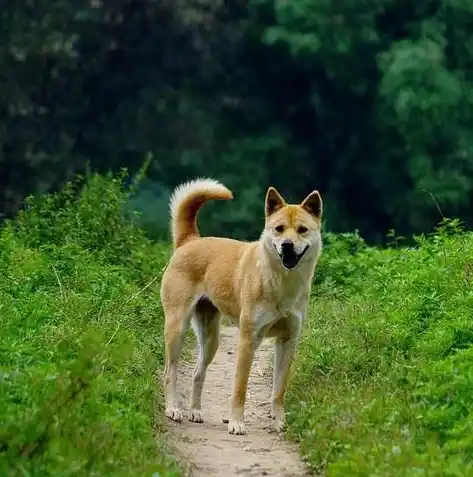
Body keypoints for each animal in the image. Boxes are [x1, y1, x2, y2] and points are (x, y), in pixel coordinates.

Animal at [160, 177, 322, 434]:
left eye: (302, 230)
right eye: (279, 229)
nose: (287, 245)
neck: (281, 283)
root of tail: (190, 240)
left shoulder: (288, 341)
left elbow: (279, 390)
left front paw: (279, 422)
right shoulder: (248, 340)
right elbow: (240, 388)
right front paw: (236, 423)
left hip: (210, 339)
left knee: (197, 373)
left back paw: (195, 412)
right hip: (177, 328)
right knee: (170, 372)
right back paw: (173, 409)